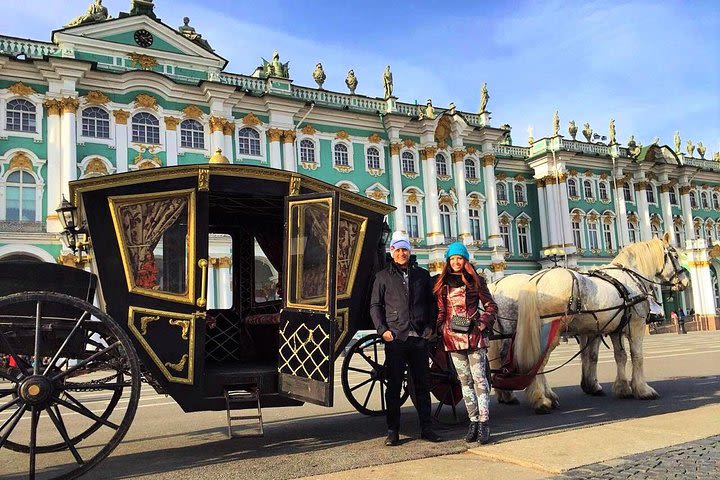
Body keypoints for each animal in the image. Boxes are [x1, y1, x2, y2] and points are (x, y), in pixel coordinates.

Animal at [504, 235, 688, 412]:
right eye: (675, 256)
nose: (685, 282)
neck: (630, 279)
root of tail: (535, 280)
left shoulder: (615, 330)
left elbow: (620, 356)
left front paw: (623, 388)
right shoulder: (636, 325)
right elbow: (637, 356)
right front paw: (643, 390)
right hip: (549, 333)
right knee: (537, 364)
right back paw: (541, 400)